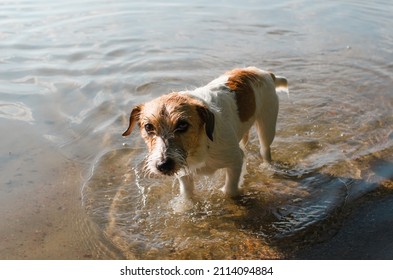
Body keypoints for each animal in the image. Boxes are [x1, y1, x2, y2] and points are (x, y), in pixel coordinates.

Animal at [122, 67, 288, 199]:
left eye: (182, 125)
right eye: (148, 127)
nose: (163, 165)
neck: (201, 144)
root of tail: (264, 72)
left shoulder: (234, 160)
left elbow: (230, 190)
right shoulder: (184, 172)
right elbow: (188, 195)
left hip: (267, 126)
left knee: (265, 149)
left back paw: (267, 168)